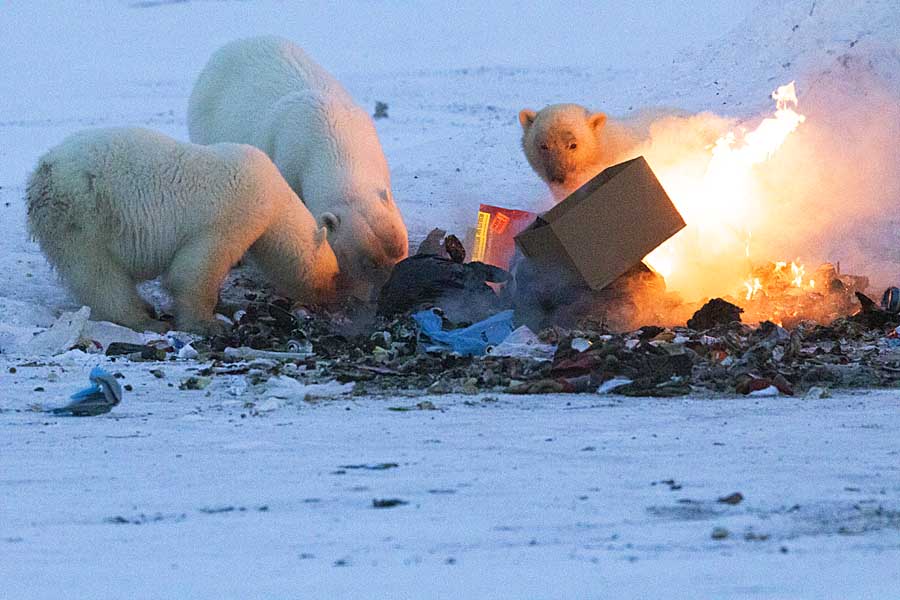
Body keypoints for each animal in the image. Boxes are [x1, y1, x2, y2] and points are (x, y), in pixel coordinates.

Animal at [28, 126, 340, 336]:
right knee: (100, 274)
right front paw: (209, 324)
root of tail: (43, 172)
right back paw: (145, 319)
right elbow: (194, 272)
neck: (275, 199)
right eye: (335, 273)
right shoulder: (231, 215)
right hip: (85, 216)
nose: (332, 297)